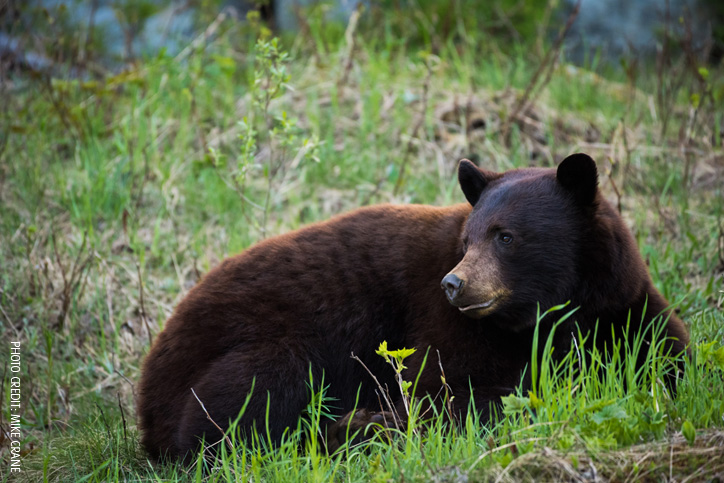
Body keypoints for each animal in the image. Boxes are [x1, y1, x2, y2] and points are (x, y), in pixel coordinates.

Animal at [137, 154, 692, 462]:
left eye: (506, 236)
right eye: (467, 240)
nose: (453, 283)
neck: (550, 315)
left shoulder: (621, 306)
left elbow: (669, 354)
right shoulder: (444, 324)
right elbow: (447, 389)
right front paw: (380, 421)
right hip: (256, 341)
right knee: (235, 412)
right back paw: (340, 430)